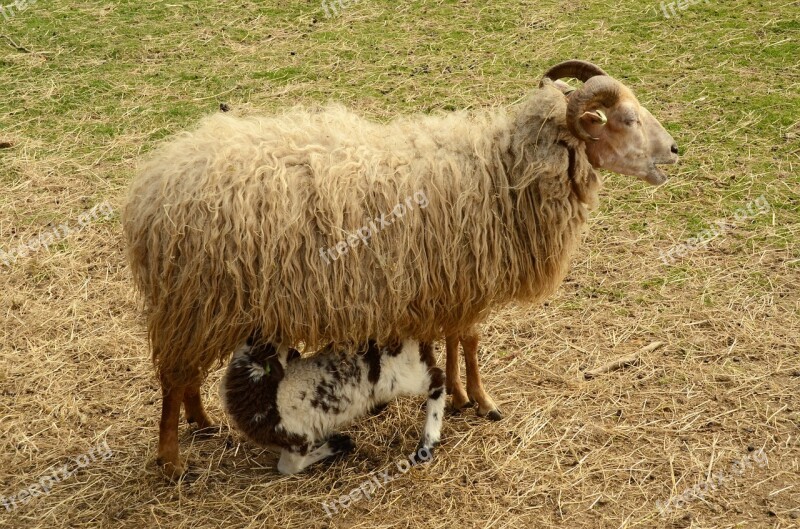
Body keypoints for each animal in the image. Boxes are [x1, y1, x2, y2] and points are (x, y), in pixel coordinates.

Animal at [219, 336, 444, 472]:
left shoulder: (298, 440)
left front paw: (339, 445)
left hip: (400, 377)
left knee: (438, 381)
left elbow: (288, 469)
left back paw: (427, 443)